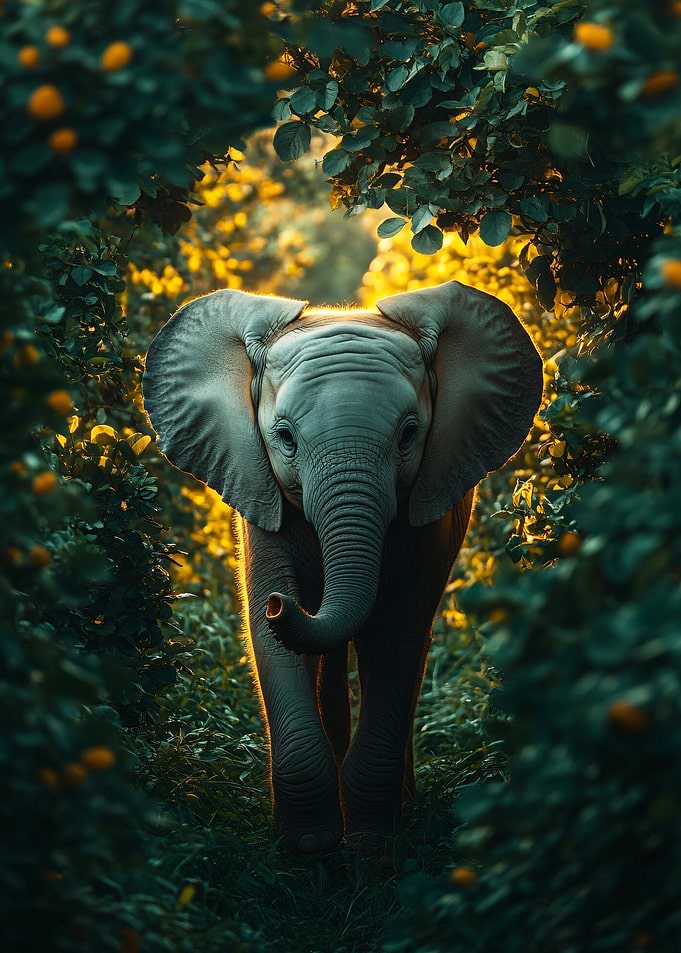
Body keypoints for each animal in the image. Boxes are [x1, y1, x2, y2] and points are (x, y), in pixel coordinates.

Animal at [142, 280, 543, 854]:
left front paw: (371, 842)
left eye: (409, 435)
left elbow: (397, 632)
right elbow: (267, 638)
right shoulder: (259, 496)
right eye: (285, 437)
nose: (282, 605)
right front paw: (310, 845)